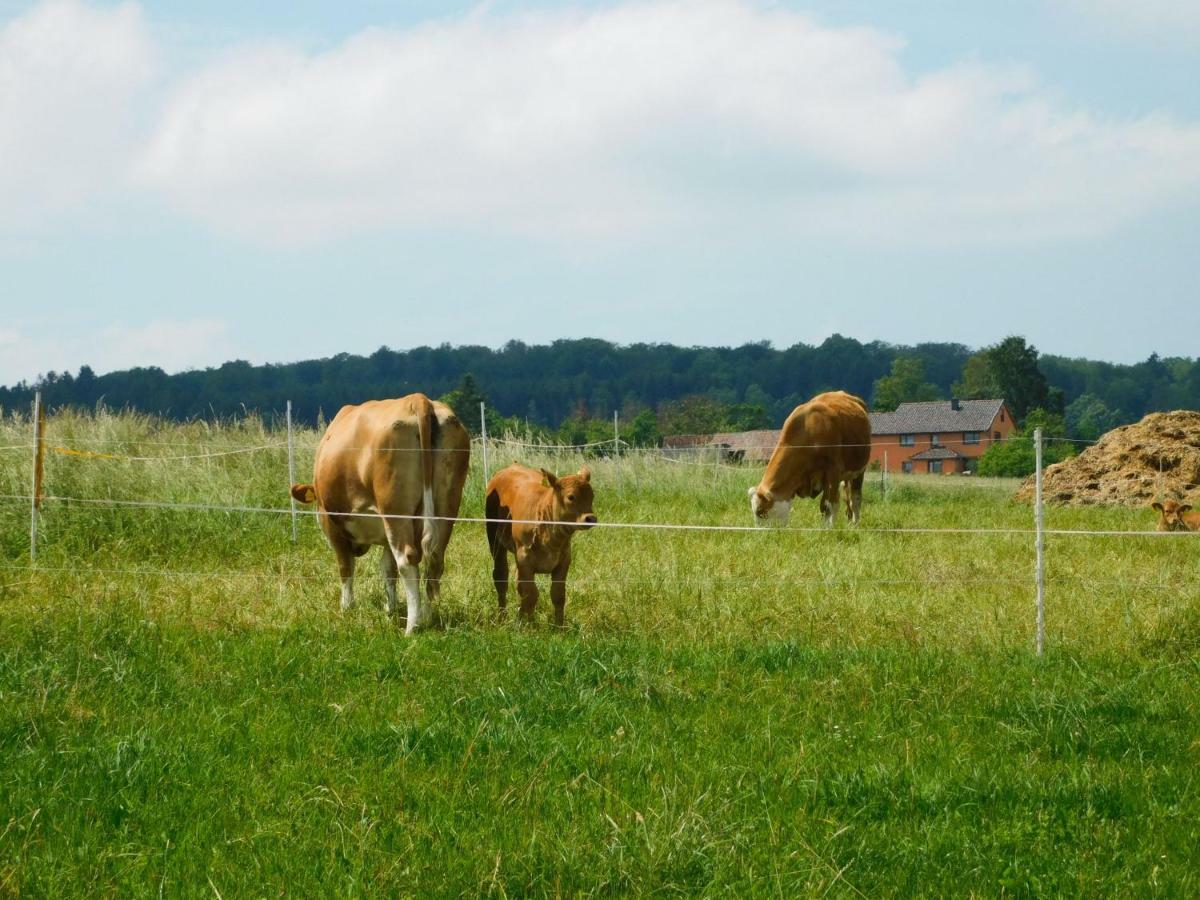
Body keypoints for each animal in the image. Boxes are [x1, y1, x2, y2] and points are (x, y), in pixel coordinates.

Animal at [292, 393, 470, 633]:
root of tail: (418, 399)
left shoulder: (332, 524)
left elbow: (346, 566)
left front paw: (347, 607)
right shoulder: (385, 538)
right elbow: (388, 569)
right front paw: (390, 608)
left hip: (395, 511)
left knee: (407, 559)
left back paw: (411, 627)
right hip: (446, 505)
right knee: (435, 559)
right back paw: (427, 617)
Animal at [484, 465, 597, 628]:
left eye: (592, 496)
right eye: (571, 497)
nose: (591, 518)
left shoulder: (564, 561)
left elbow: (558, 595)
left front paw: (558, 627)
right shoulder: (524, 559)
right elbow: (531, 594)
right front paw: (530, 626)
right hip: (494, 540)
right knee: (501, 578)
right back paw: (502, 617)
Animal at [744, 388, 868, 528]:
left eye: (760, 512)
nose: (760, 532)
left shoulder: (833, 472)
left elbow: (829, 505)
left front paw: (828, 528)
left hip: (859, 471)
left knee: (855, 499)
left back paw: (855, 524)